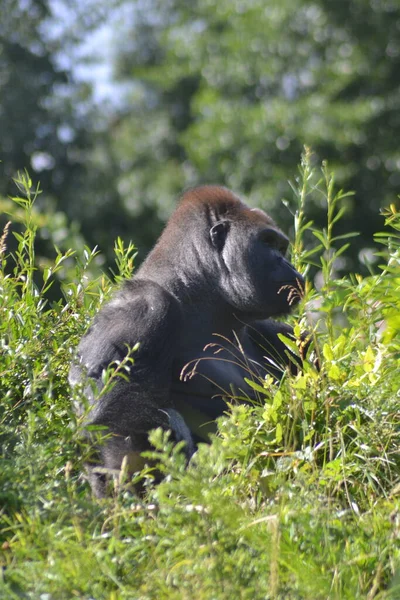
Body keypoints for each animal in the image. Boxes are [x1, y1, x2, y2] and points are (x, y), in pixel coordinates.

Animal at [70, 185, 304, 494]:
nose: (287, 263)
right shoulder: (144, 307)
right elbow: (116, 423)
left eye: (280, 247)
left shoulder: (272, 331)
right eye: (266, 242)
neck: (193, 292)